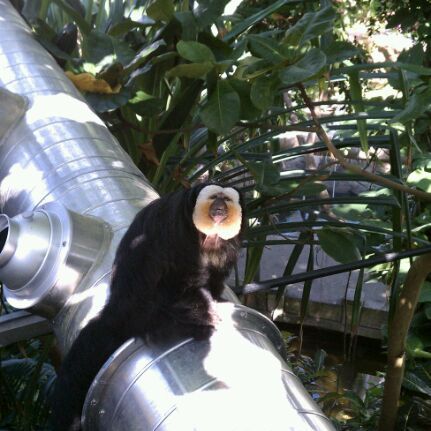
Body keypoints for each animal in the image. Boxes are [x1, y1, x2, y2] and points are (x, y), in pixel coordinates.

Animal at [51, 183, 243, 431]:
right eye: (213, 199)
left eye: (226, 200)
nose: (219, 209)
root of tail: (117, 310)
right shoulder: (179, 233)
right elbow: (180, 280)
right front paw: (206, 312)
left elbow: (215, 273)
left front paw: (217, 298)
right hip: (142, 310)